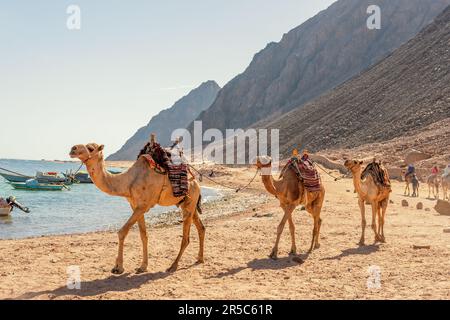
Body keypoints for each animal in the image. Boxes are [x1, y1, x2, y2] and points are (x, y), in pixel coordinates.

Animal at [69, 144, 205, 274]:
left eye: (90, 148)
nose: (73, 149)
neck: (128, 182)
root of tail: (196, 182)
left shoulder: (143, 206)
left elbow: (122, 232)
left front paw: (118, 268)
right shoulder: (136, 206)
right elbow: (143, 235)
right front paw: (143, 266)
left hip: (190, 202)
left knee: (186, 238)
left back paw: (173, 265)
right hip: (188, 203)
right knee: (201, 228)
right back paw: (200, 259)